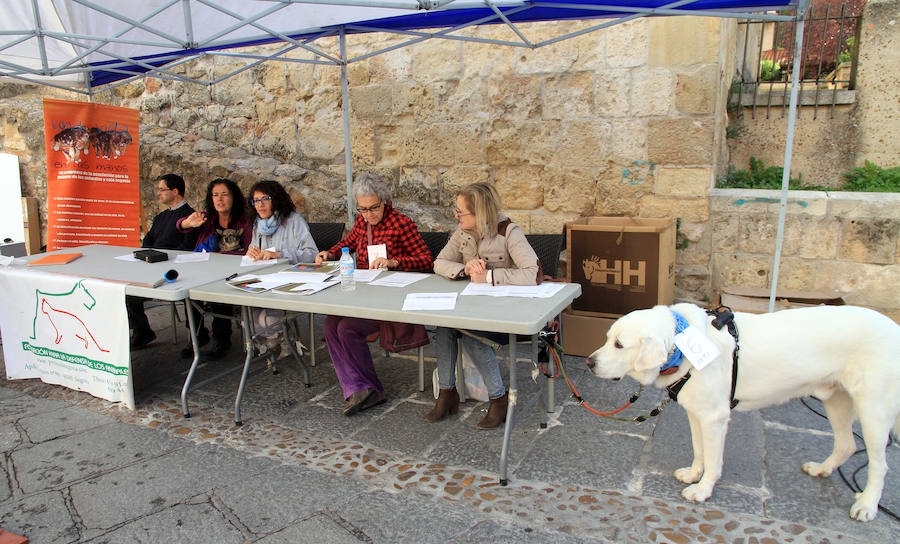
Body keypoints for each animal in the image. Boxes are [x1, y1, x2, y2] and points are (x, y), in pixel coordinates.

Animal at [584, 304, 900, 520]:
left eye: (619, 344)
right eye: (607, 338)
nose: (589, 362)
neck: (681, 344)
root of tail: (894, 328)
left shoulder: (715, 418)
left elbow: (713, 460)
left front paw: (703, 489)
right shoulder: (697, 413)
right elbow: (699, 450)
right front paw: (693, 473)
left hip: (872, 410)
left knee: (879, 464)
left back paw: (867, 504)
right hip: (836, 399)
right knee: (846, 445)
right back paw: (822, 469)